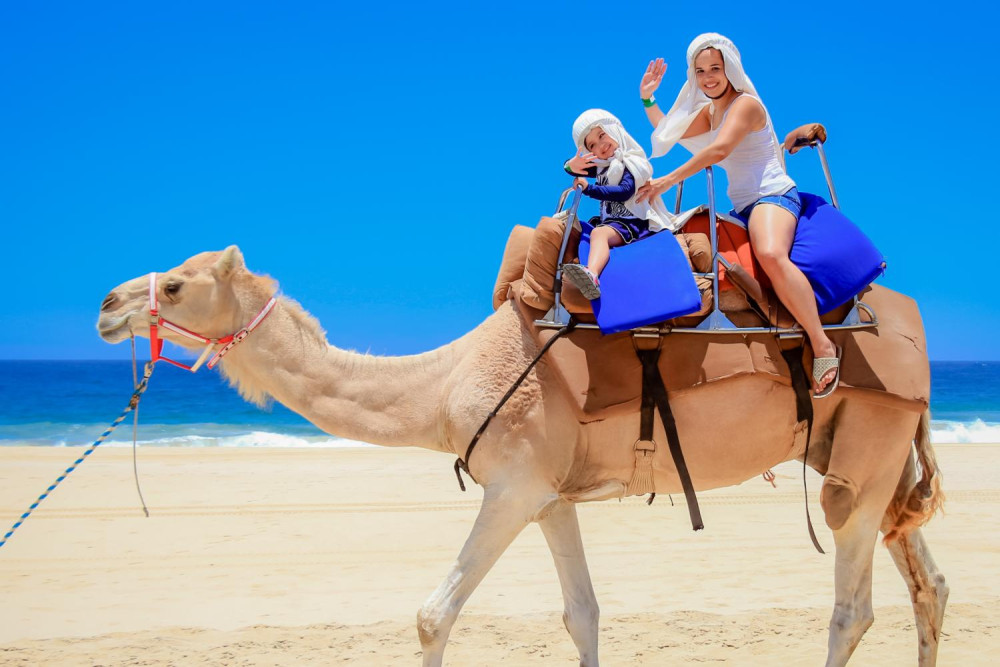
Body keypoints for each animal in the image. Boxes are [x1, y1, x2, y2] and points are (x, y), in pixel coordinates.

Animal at [96, 245, 947, 666]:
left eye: (175, 286)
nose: (107, 306)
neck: (444, 384)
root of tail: (913, 333)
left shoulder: (510, 484)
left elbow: (432, 615)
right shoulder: (550, 496)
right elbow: (582, 614)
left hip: (865, 447)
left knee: (852, 604)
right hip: (874, 455)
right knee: (927, 584)